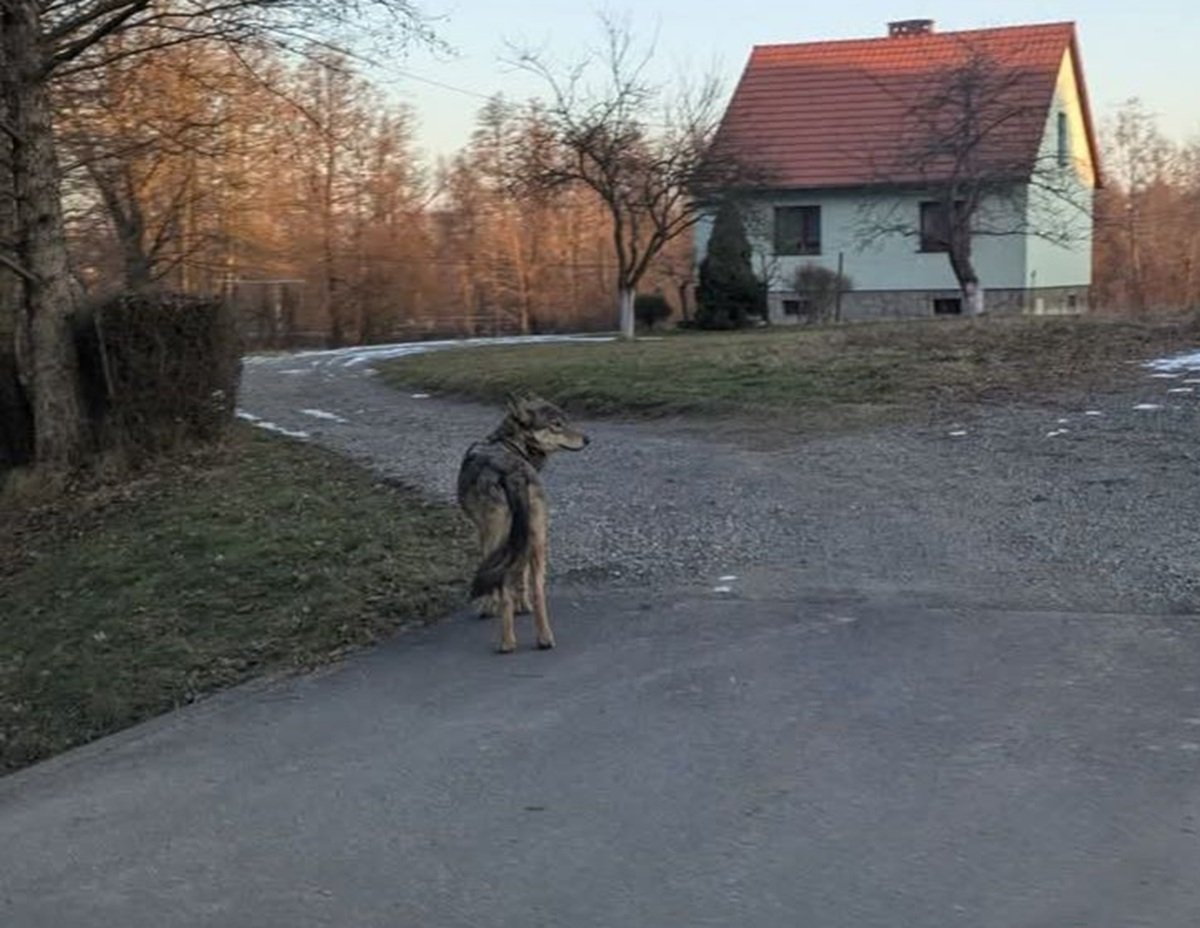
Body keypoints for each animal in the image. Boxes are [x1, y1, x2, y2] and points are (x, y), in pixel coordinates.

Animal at [456, 393, 588, 653]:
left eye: (565, 421)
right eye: (557, 424)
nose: (587, 439)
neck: (510, 445)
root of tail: (512, 472)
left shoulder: (484, 535)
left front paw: (488, 607)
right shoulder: (523, 538)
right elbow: (522, 576)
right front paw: (523, 607)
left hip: (498, 540)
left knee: (504, 587)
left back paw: (507, 643)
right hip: (538, 541)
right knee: (538, 590)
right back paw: (544, 638)